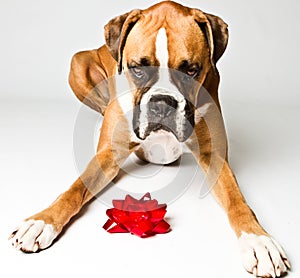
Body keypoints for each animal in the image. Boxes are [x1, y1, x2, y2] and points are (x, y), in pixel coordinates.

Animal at [9, 1, 290, 276]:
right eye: (138, 69)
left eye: (191, 70)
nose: (162, 103)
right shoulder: (108, 155)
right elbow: (75, 189)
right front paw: (41, 221)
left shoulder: (215, 157)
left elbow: (237, 201)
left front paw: (258, 242)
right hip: (78, 62)